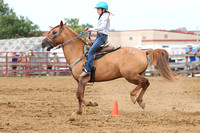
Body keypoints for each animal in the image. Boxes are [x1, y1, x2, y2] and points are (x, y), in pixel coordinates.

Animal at [41, 21, 176, 115]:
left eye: (54, 32)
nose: (43, 43)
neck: (78, 52)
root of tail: (144, 52)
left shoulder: (83, 79)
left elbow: (79, 95)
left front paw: (92, 103)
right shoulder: (80, 81)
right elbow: (80, 95)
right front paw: (79, 112)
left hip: (130, 75)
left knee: (145, 82)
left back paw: (134, 97)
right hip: (135, 75)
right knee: (145, 83)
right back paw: (140, 101)